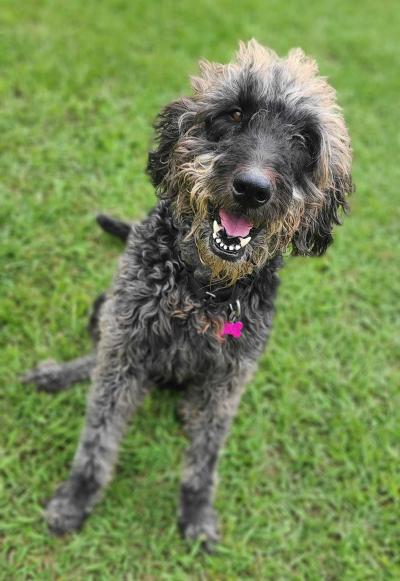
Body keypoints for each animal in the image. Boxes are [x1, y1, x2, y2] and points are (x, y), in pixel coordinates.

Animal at [25, 40, 352, 548]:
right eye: (234, 114)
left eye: (303, 139)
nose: (252, 189)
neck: (202, 293)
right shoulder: (126, 345)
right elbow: (98, 434)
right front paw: (77, 496)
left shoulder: (229, 379)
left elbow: (206, 455)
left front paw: (196, 510)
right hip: (108, 314)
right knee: (96, 357)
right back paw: (60, 374)